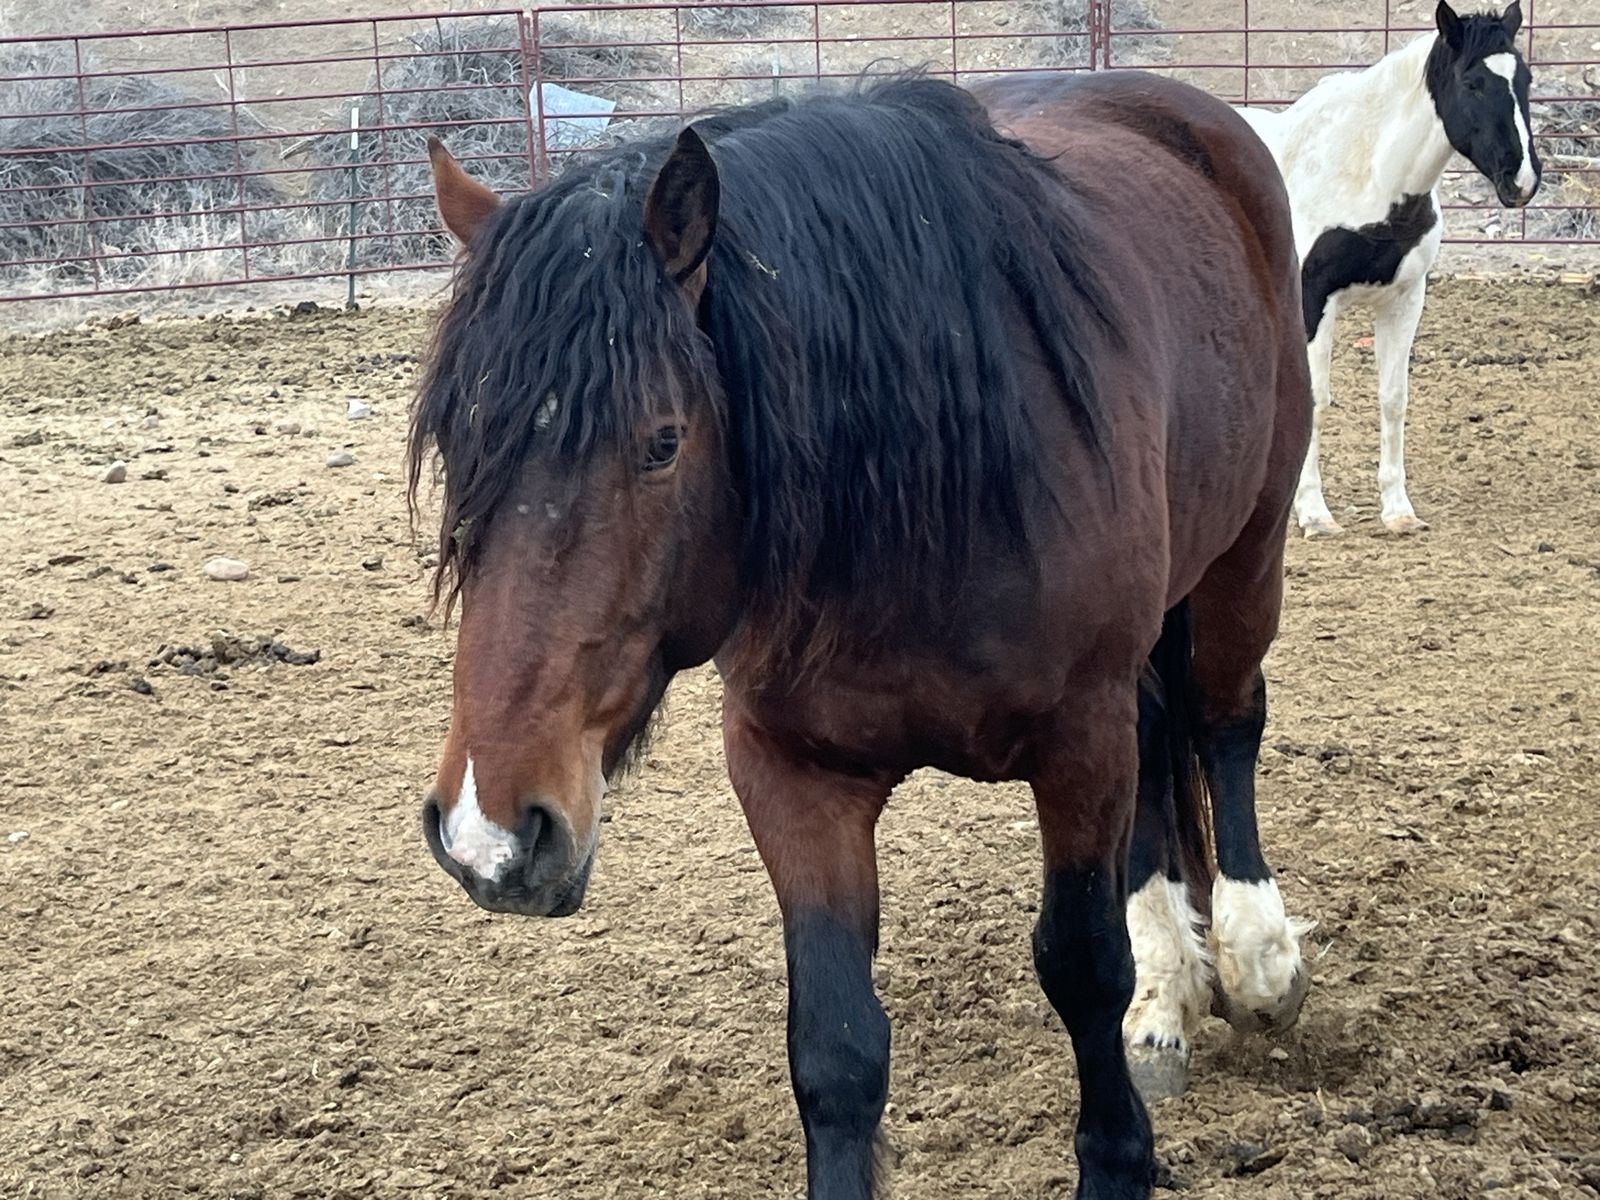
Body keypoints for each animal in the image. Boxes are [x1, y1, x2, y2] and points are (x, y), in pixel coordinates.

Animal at [410, 70, 1313, 1200]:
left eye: (661, 442)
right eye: (459, 444)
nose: (488, 835)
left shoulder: (1078, 740)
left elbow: (1079, 963)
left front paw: (1119, 1158)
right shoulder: (791, 772)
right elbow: (835, 1045)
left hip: (1246, 555)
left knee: (1224, 721)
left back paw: (1258, 954)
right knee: (1163, 752)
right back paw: (1168, 1001)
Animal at [1235, 0, 1540, 537]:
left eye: (1524, 78)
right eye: (1473, 82)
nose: (1522, 180)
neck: (1365, 171)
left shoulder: (1405, 299)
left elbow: (1393, 398)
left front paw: (1398, 509)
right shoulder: (1313, 302)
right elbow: (1315, 399)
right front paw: (1314, 513)